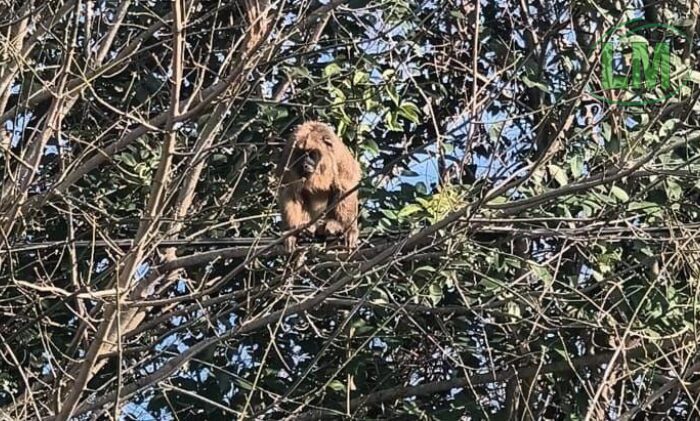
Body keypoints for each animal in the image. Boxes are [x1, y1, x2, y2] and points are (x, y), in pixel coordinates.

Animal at [277, 121, 361, 253]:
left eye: (311, 154)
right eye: (301, 155)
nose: (305, 165)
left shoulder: (339, 156)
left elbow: (346, 186)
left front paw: (349, 230)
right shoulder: (288, 158)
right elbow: (290, 191)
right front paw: (290, 232)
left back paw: (334, 225)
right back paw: (306, 228)